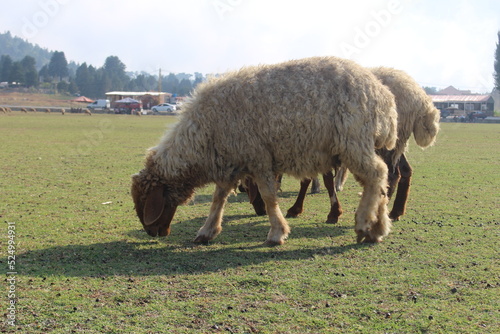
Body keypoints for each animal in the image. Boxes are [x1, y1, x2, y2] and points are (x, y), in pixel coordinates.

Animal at [131, 56, 396, 245]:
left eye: (148, 202)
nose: (153, 233)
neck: (204, 134)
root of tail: (384, 96)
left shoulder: (257, 157)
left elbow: (268, 197)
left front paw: (277, 233)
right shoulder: (231, 162)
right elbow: (218, 198)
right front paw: (207, 231)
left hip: (353, 141)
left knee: (377, 174)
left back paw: (364, 224)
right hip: (358, 144)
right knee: (379, 182)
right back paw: (378, 228)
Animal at [282, 67, 442, 224]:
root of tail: (419, 98)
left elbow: (318, 180)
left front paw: (327, 212)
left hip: (385, 143)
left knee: (392, 174)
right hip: (396, 143)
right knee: (405, 170)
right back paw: (396, 211)